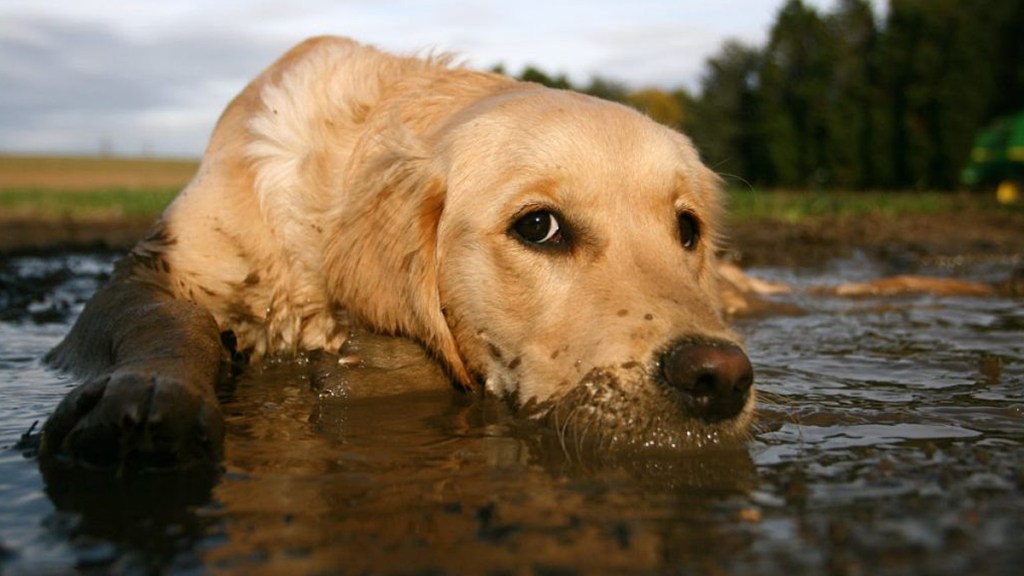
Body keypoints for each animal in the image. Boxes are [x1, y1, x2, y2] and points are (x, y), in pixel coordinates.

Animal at [41, 34, 753, 467]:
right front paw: (148, 395)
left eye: (687, 229)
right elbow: (169, 318)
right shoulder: (147, 274)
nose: (719, 377)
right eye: (539, 227)